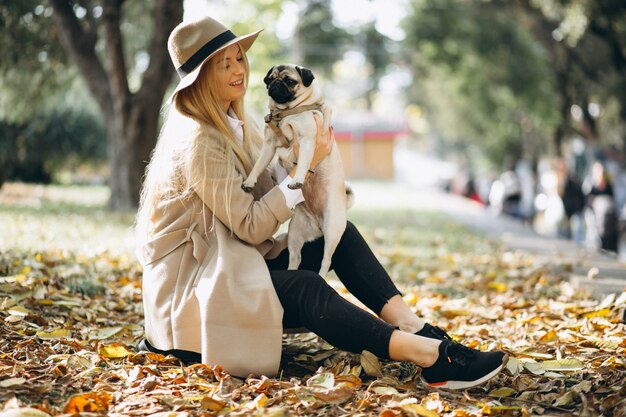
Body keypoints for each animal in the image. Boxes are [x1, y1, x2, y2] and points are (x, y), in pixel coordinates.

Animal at [241, 65, 352, 278]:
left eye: (290, 81)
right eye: (270, 79)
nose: (275, 84)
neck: (287, 113)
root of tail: (317, 225)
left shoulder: (308, 141)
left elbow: (302, 164)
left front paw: (298, 180)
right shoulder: (269, 145)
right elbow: (258, 165)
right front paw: (250, 181)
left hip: (332, 229)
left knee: (326, 259)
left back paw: (321, 276)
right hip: (294, 233)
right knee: (295, 257)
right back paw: (292, 271)